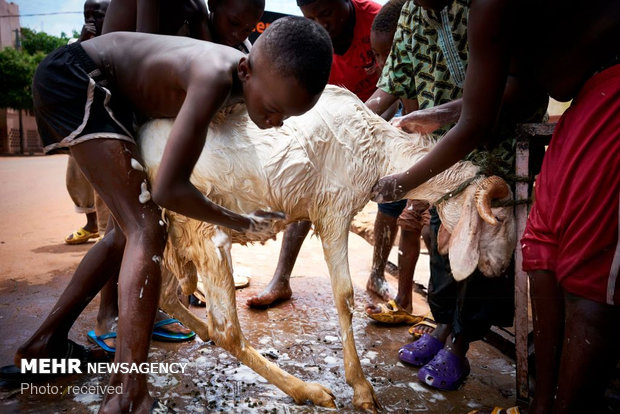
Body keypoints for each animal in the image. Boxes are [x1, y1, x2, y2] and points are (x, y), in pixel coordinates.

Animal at [139, 85, 512, 410]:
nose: (500, 269)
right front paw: (361, 389)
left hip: (174, 233)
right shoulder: (334, 210)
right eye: (500, 219)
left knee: (167, 296)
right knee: (226, 330)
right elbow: (344, 296)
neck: (377, 148)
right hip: (202, 229)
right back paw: (307, 390)